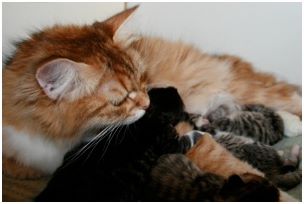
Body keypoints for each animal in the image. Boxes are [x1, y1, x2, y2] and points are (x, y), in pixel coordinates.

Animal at [2, 6, 302, 178]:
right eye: (120, 100)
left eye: (142, 79)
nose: (147, 104)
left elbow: (230, 165)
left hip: (239, 85)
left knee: (285, 95)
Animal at [35, 87, 280, 201]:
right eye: (179, 104)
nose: (174, 88)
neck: (148, 118)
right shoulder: (168, 141)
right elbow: (185, 140)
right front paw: (199, 130)